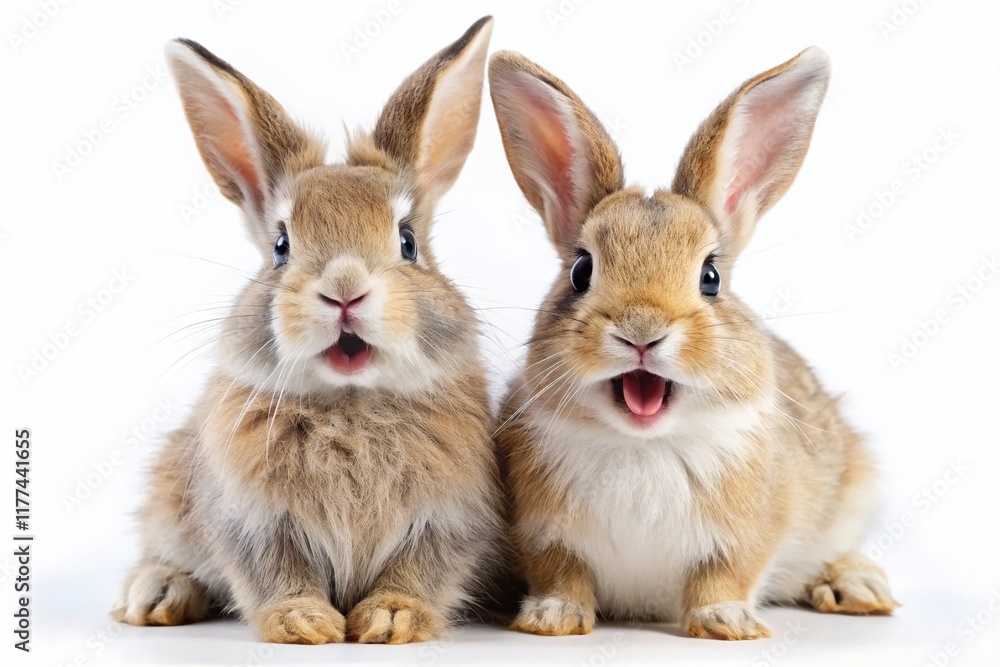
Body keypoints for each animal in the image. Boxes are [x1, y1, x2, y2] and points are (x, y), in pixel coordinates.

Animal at [110, 17, 504, 645]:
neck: (351, 406)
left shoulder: (451, 519)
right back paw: (155, 593)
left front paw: (391, 619)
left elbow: (421, 569)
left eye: (408, 241)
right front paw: (304, 622)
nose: (344, 288)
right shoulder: (253, 521)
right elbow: (274, 570)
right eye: (280, 246)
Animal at [488, 47, 898, 640]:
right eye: (582, 271)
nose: (641, 329)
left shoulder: (747, 537)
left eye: (711, 277)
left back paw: (858, 586)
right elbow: (563, 572)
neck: (643, 444)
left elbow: (724, 575)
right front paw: (551, 618)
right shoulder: (544, 535)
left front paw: (725, 622)